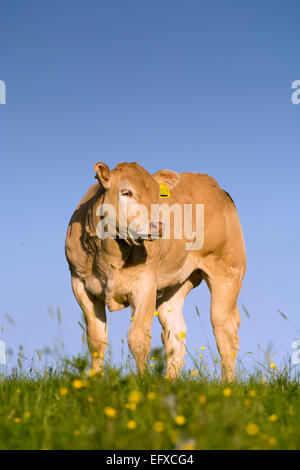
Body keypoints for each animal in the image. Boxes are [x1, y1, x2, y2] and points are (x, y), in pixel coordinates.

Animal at [65, 162, 246, 382]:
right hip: (176, 285)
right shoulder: (81, 285)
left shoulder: (145, 285)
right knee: (175, 333)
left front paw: (143, 381)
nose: (158, 225)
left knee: (225, 330)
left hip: (227, 273)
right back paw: (170, 381)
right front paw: (96, 380)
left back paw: (227, 382)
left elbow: (138, 338)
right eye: (126, 192)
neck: (110, 257)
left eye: (157, 196)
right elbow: (96, 339)